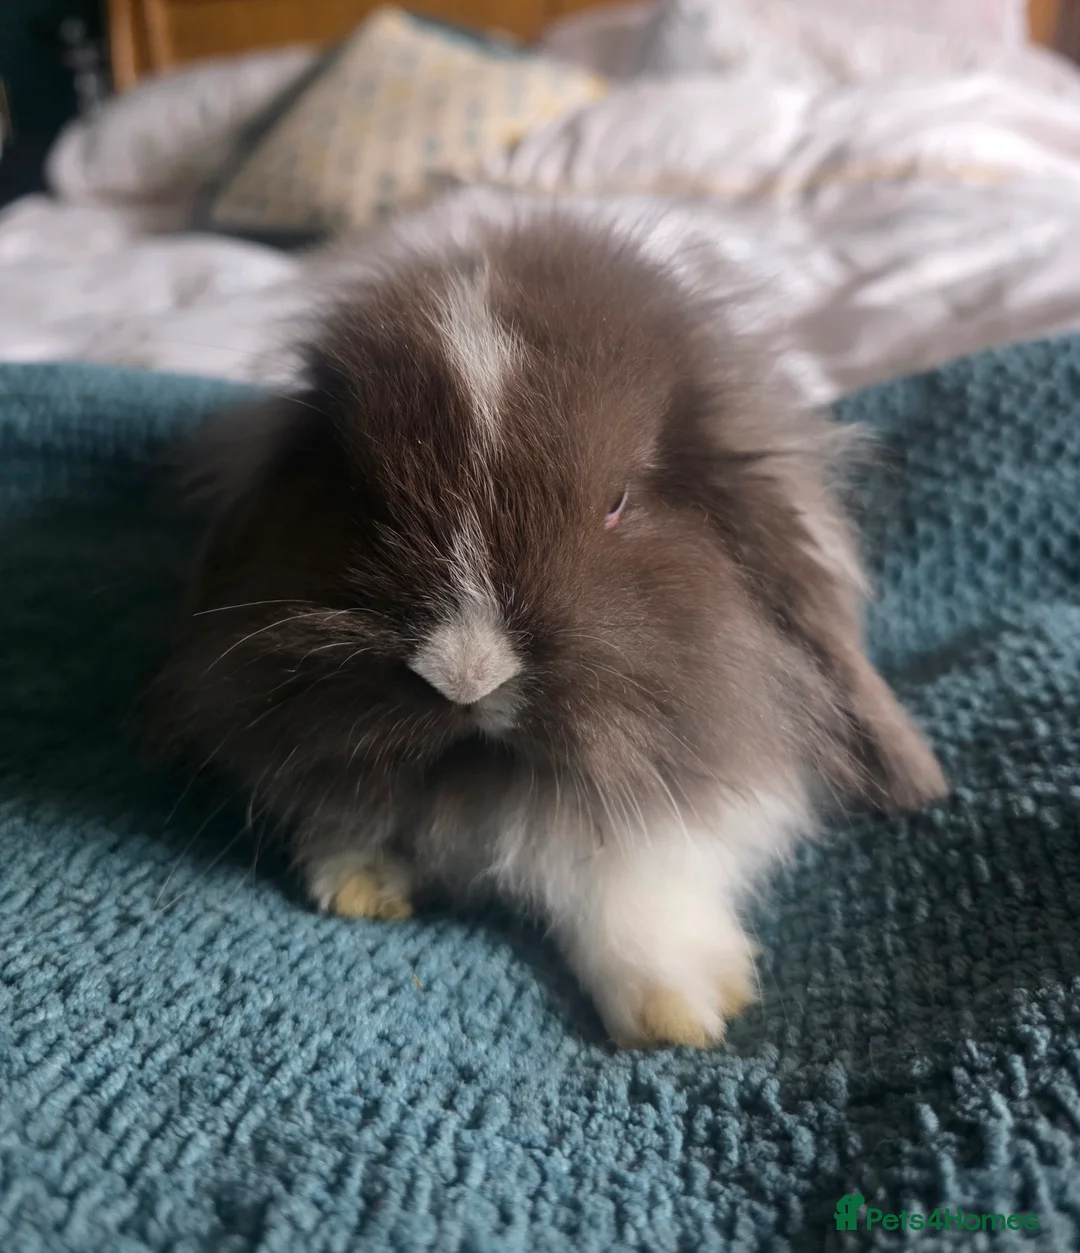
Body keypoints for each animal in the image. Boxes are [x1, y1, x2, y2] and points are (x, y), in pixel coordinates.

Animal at [152, 193, 946, 1049]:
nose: (466, 675)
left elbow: (633, 877)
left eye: (617, 502)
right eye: (361, 497)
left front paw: (680, 1012)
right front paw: (363, 887)